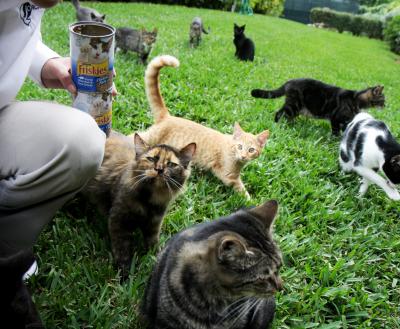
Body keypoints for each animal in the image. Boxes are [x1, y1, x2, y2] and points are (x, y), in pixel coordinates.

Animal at [83, 130, 196, 276]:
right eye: (152, 159)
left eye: (171, 164)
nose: (159, 169)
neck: (150, 201)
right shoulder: (118, 221)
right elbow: (122, 249)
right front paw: (125, 273)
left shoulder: (154, 223)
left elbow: (152, 243)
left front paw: (154, 258)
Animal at [136, 55, 270, 199]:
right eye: (240, 147)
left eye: (251, 150)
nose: (244, 156)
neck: (231, 149)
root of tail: (167, 116)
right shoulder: (229, 176)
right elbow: (243, 191)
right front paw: (252, 201)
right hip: (150, 138)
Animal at [252, 78, 386, 135]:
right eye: (383, 100)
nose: (386, 105)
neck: (356, 99)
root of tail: (289, 81)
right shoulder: (336, 118)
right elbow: (336, 131)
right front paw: (335, 139)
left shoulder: (346, 121)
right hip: (294, 105)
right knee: (279, 113)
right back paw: (278, 125)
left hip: (297, 108)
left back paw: (290, 124)